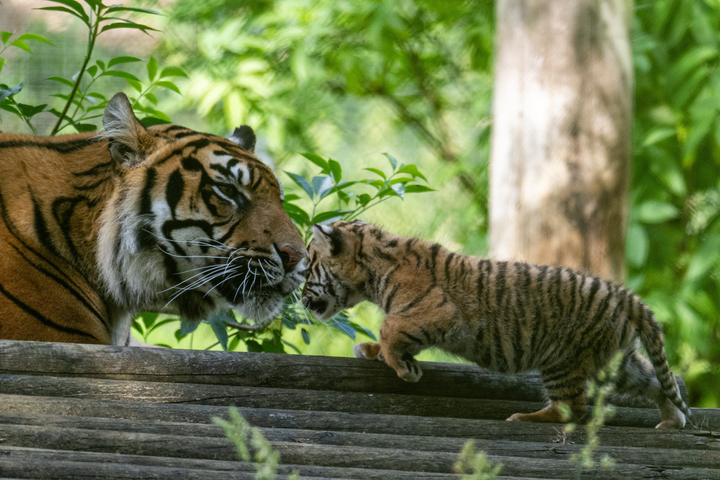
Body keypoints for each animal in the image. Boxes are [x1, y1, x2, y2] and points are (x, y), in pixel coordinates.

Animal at [302, 220, 691, 429]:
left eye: (308, 269)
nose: (301, 298)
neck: (373, 273)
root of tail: (625, 297)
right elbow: (394, 333)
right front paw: (375, 352)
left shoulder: (443, 315)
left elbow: (391, 327)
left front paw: (402, 368)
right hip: (616, 362)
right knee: (657, 381)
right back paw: (672, 420)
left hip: (561, 360)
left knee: (572, 409)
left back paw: (523, 417)